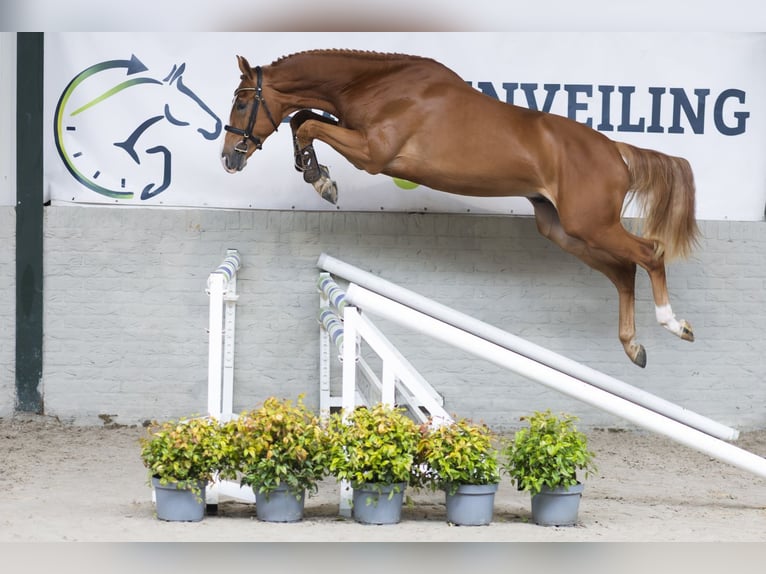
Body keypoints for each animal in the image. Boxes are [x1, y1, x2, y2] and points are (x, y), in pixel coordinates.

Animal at [221, 49, 699, 368]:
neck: (378, 85)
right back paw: (633, 347)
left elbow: (309, 124)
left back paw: (674, 324)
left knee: (649, 254)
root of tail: (615, 151)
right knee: (623, 272)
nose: (230, 158)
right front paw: (314, 172)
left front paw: (321, 181)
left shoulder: (373, 154)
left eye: (242, 101)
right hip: (564, 231)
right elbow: (304, 119)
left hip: (592, 225)